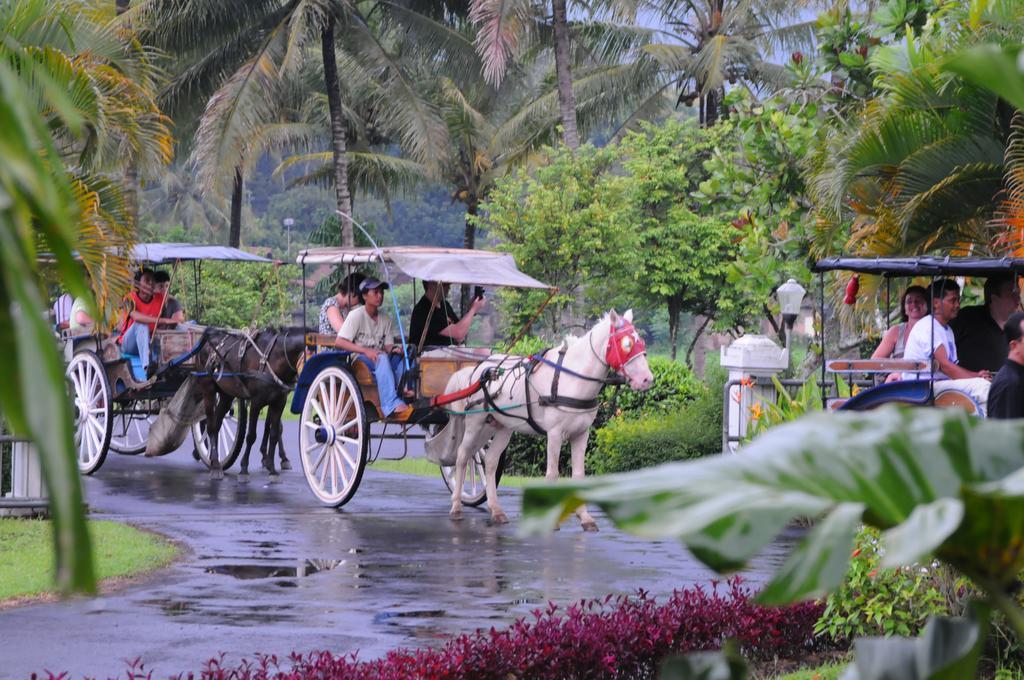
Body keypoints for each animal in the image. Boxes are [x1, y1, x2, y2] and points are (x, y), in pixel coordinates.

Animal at [192, 327, 303, 481]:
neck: (272, 358)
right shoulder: (257, 401)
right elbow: (251, 435)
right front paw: (244, 468)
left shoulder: (279, 401)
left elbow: (275, 431)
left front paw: (272, 466)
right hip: (208, 389)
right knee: (210, 425)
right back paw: (213, 464)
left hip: (226, 395)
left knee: (217, 423)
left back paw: (215, 462)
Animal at [444, 309, 651, 532]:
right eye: (627, 344)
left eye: (641, 343)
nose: (647, 379)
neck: (570, 378)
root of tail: (477, 368)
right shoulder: (554, 433)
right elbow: (552, 473)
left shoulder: (581, 435)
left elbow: (579, 475)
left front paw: (585, 517)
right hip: (475, 423)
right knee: (463, 457)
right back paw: (456, 506)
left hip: (502, 427)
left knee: (490, 462)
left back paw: (496, 510)